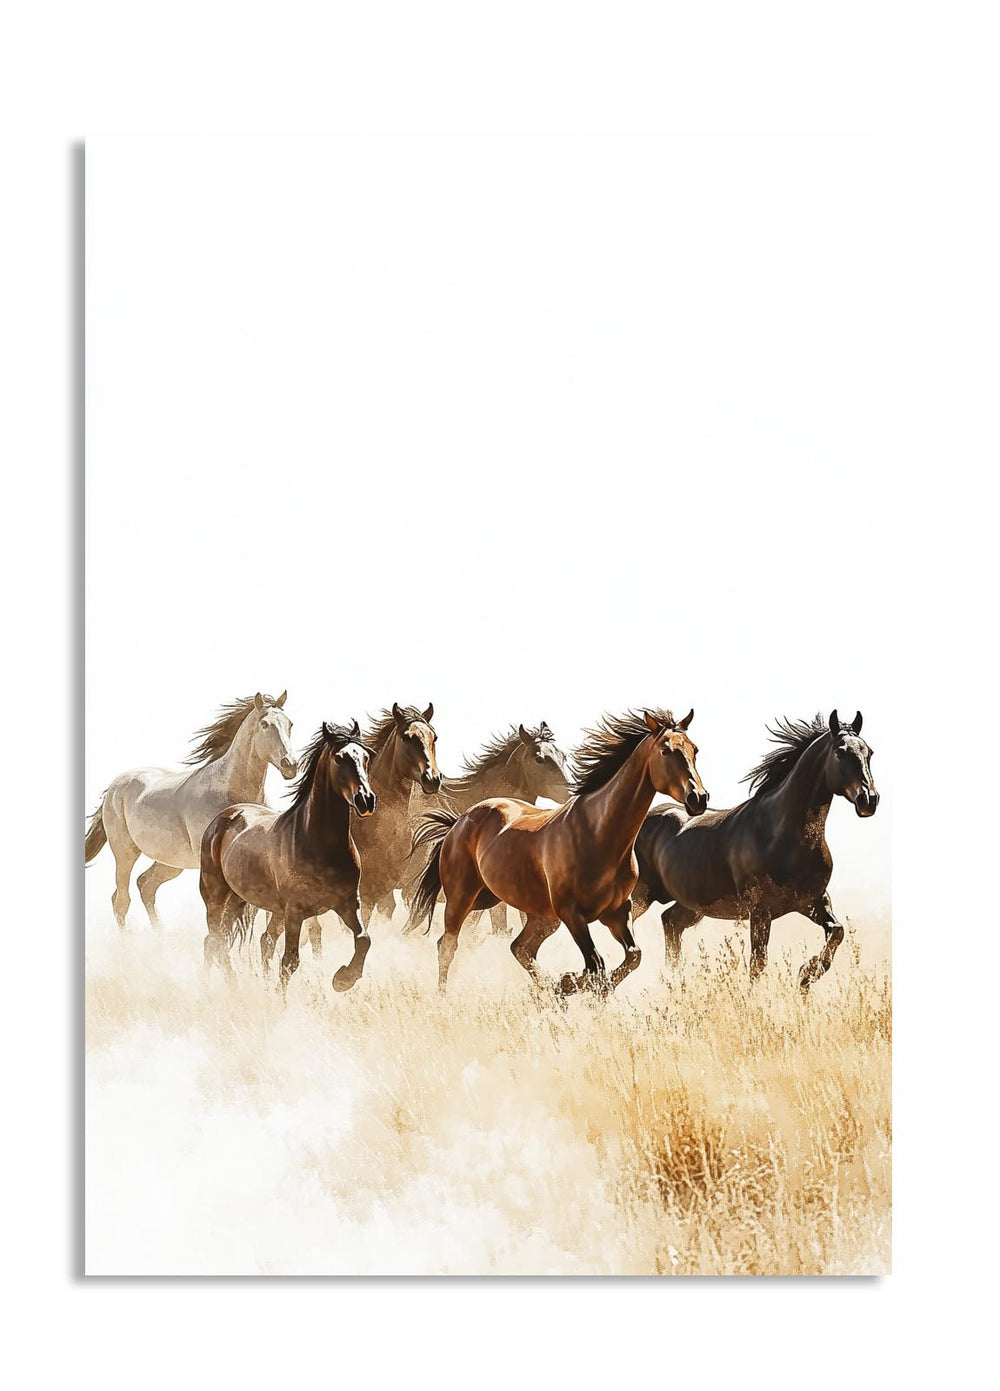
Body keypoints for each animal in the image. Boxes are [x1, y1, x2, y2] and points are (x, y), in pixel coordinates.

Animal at [85, 691, 297, 929]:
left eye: (290, 724)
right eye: (265, 724)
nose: (290, 765)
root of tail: (114, 787)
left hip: (171, 862)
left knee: (146, 885)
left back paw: (160, 936)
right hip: (125, 853)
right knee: (121, 901)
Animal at [199, 721, 377, 994]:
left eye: (366, 757)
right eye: (338, 758)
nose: (365, 800)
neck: (318, 842)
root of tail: (222, 818)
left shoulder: (347, 903)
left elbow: (364, 939)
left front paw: (343, 979)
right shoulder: (296, 910)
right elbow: (290, 961)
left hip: (241, 901)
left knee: (239, 941)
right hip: (216, 897)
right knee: (216, 941)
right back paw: (224, 988)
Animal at [630, 710, 879, 990]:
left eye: (868, 752)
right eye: (840, 752)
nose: (869, 800)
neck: (781, 833)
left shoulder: (813, 901)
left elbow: (837, 932)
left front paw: (805, 976)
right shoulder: (760, 911)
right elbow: (758, 964)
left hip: (692, 906)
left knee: (670, 922)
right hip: (641, 897)